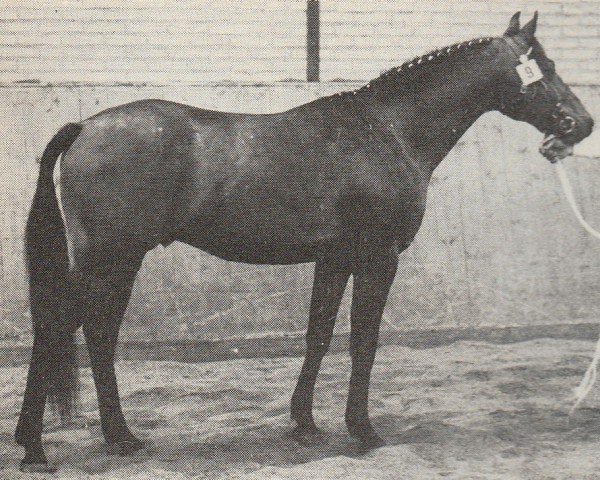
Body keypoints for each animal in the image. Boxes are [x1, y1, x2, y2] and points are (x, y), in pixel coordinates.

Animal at [14, 12, 592, 472]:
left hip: (118, 262)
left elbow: (318, 335)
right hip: (107, 258)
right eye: (542, 66)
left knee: (96, 336)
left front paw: (305, 422)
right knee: (62, 330)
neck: (389, 130)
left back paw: (114, 438)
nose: (580, 124)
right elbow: (363, 340)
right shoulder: (377, 258)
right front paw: (364, 431)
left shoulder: (334, 259)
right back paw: (39, 448)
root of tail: (85, 126)